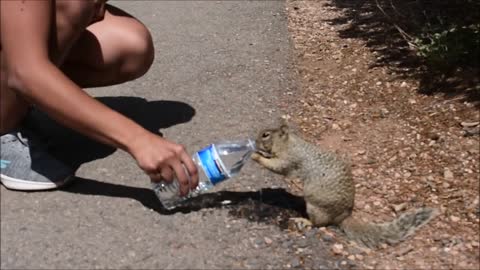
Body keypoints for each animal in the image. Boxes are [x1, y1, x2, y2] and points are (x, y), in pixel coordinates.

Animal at [251, 121, 438, 248]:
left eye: (266, 135)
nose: (254, 142)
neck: (289, 143)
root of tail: (343, 217)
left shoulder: (289, 159)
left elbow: (277, 167)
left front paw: (255, 156)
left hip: (316, 207)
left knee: (320, 223)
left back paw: (304, 221)